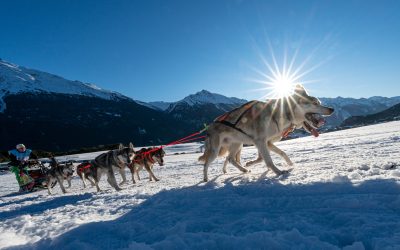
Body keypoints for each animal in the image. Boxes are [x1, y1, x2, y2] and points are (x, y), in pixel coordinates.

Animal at [200, 84, 334, 182]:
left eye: (319, 102)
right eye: (315, 103)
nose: (332, 109)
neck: (281, 113)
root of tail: (209, 127)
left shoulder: (266, 142)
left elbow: (278, 154)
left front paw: (289, 163)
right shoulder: (260, 141)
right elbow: (268, 160)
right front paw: (278, 172)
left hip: (237, 144)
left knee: (230, 159)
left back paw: (243, 170)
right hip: (215, 150)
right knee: (206, 164)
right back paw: (206, 179)